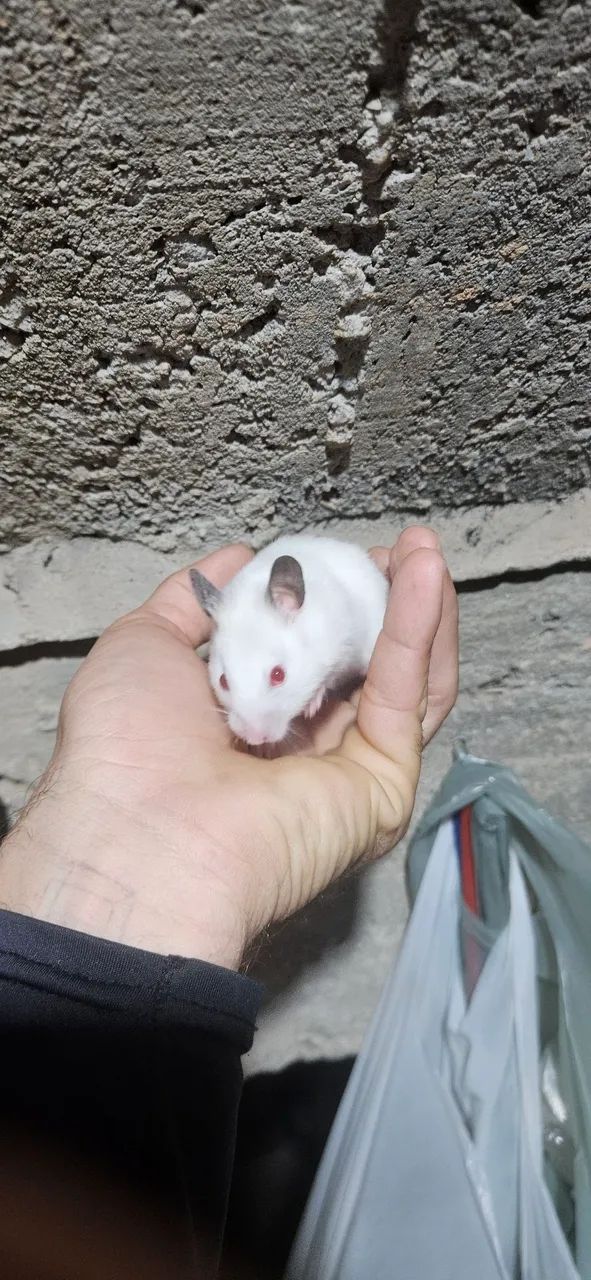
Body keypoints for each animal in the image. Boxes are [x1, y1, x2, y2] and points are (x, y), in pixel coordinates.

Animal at [190, 534, 388, 747]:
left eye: (278, 675)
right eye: (223, 681)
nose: (255, 739)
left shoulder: (343, 648)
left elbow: (329, 677)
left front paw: (311, 709)